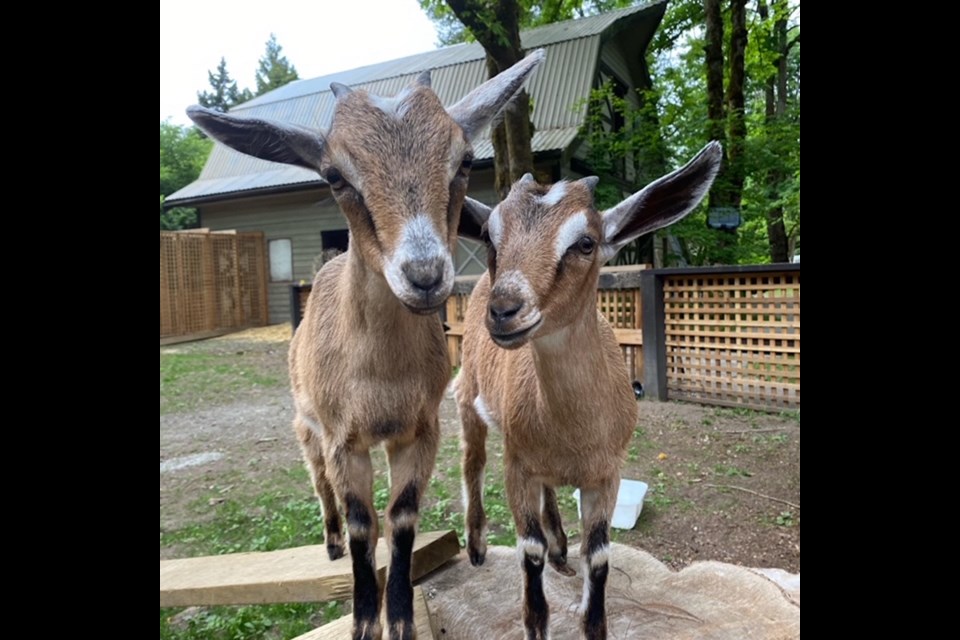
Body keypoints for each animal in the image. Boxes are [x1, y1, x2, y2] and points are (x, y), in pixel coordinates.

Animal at [188, 50, 544, 640]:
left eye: (464, 160)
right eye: (334, 175)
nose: (424, 275)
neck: (380, 376)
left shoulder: (420, 430)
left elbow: (399, 518)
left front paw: (398, 616)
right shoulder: (342, 439)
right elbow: (361, 521)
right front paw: (362, 620)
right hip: (305, 423)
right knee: (318, 481)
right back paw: (330, 542)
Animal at [456, 142, 720, 636]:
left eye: (585, 243)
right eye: (489, 238)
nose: (505, 310)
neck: (571, 431)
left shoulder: (607, 473)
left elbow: (597, 558)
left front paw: (590, 612)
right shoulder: (516, 464)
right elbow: (529, 552)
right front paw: (535, 620)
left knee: (549, 490)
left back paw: (561, 546)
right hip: (467, 393)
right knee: (473, 460)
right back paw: (477, 545)